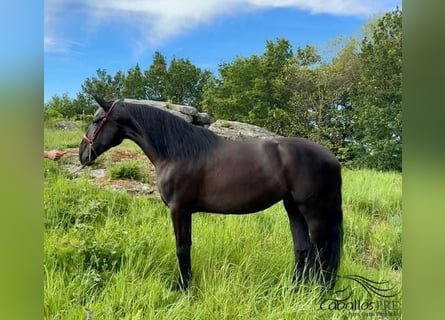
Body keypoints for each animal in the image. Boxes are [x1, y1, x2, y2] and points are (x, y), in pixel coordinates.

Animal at [80, 95, 344, 290]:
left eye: (97, 120)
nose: (83, 154)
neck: (176, 152)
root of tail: (331, 157)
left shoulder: (179, 209)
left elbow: (182, 248)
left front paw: (183, 288)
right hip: (293, 208)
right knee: (303, 249)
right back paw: (296, 289)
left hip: (313, 212)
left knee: (320, 251)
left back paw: (318, 291)